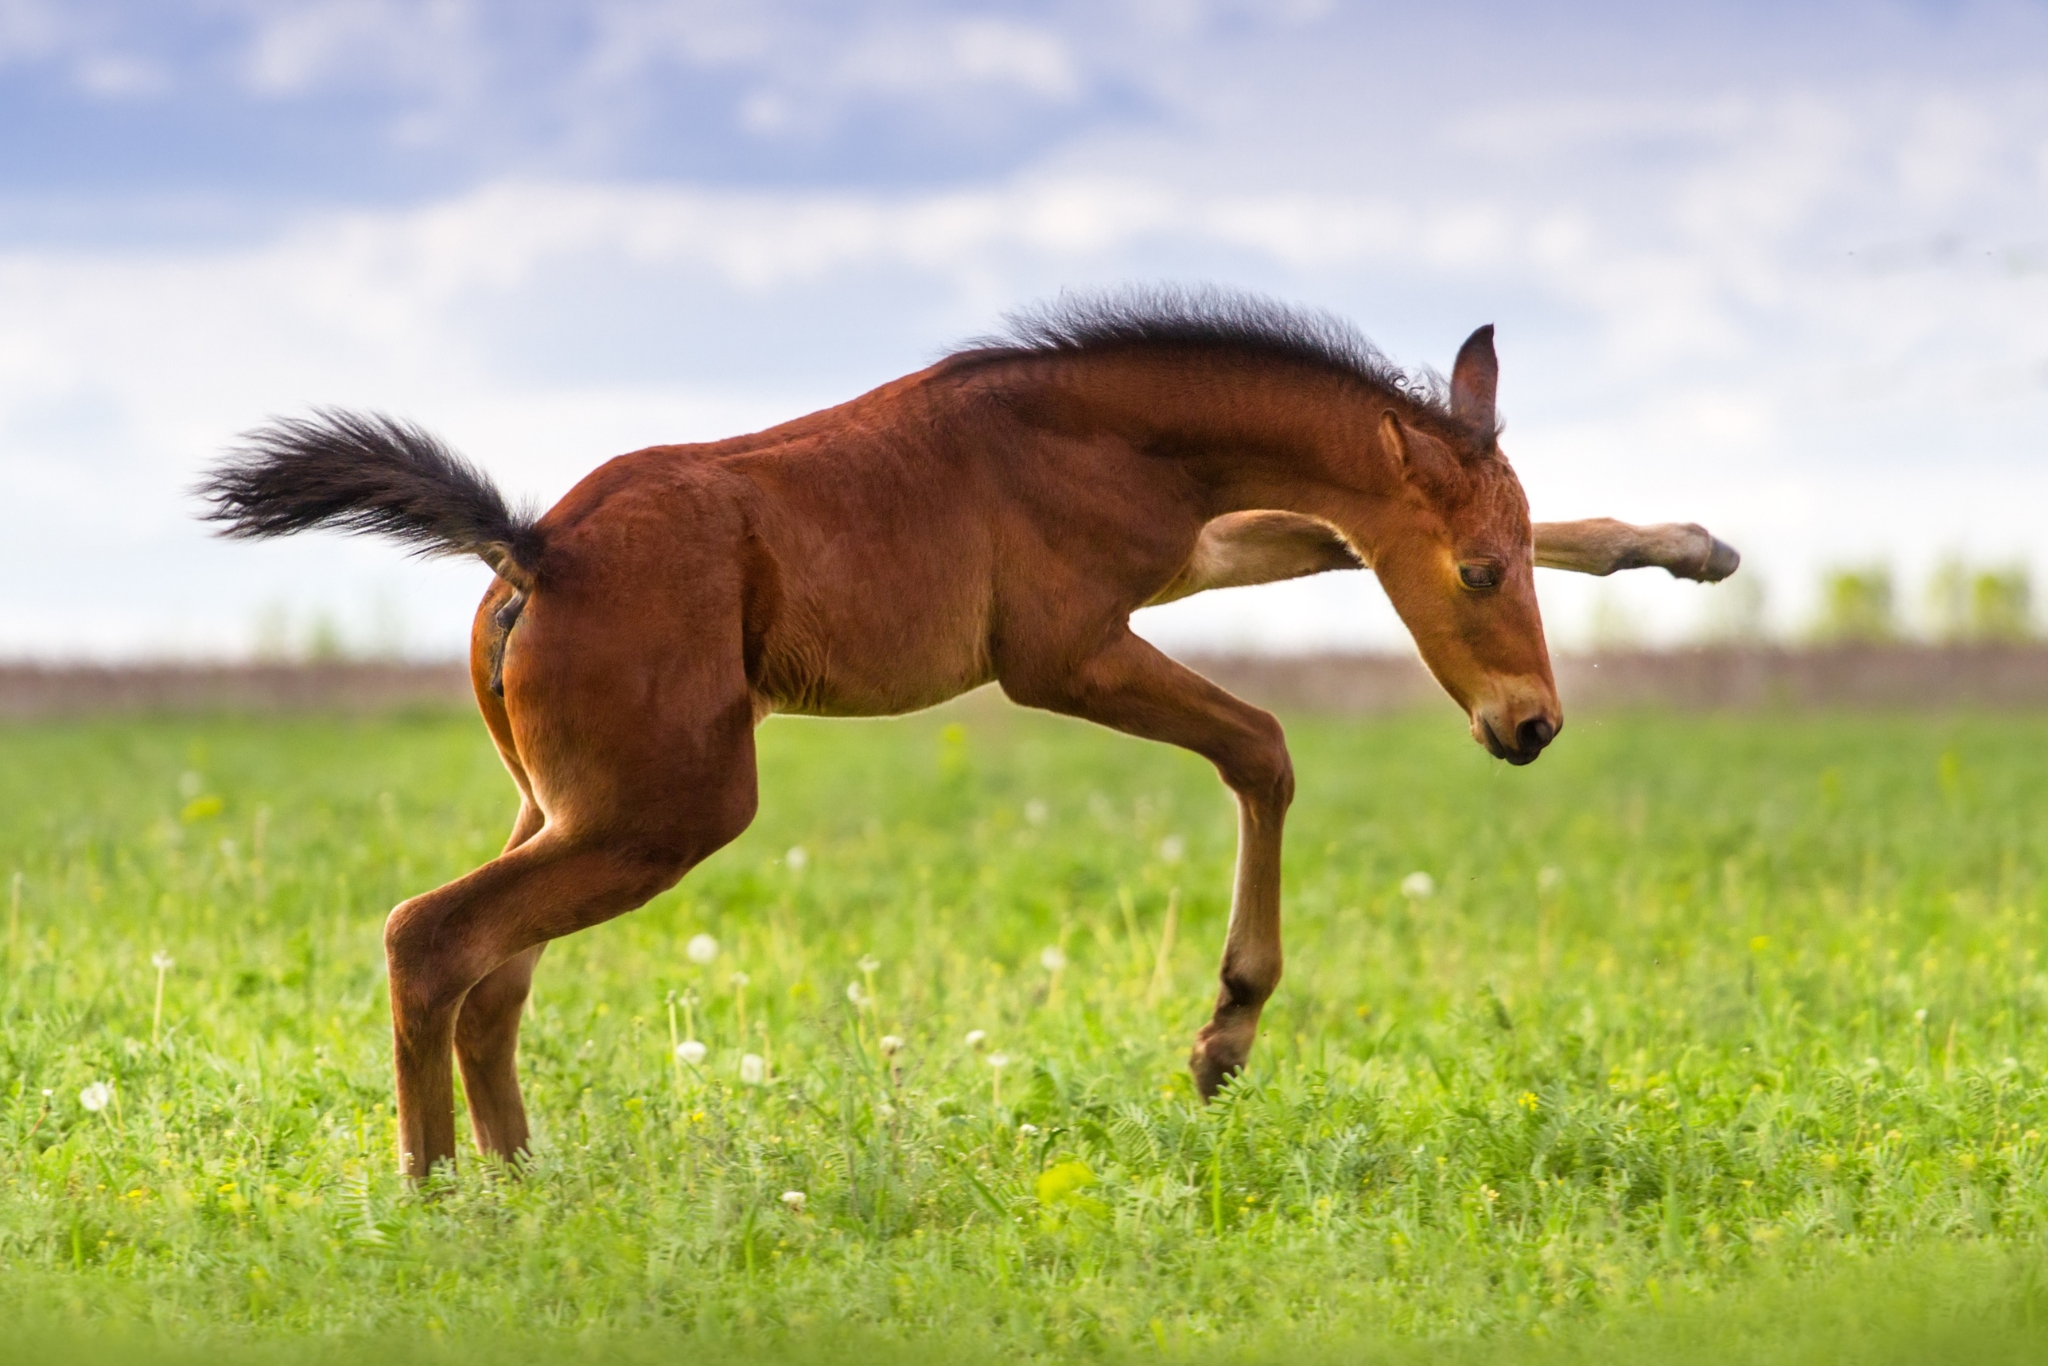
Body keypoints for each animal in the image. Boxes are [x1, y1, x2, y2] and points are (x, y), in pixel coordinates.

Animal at [198, 289, 1738, 1178]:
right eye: (1475, 574)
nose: (1528, 725)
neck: (1092, 424)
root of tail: (534, 548)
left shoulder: (1181, 560)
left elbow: (1314, 545)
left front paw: (1688, 546)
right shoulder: (1058, 653)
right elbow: (1263, 744)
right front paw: (1224, 1033)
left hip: (571, 802)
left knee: (494, 974)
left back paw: (527, 1183)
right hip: (664, 810)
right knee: (433, 937)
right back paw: (440, 1197)